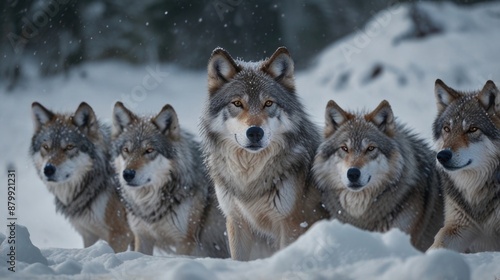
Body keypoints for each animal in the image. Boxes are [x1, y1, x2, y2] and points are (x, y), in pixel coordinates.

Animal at [199, 46, 328, 260]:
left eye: (268, 103)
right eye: (237, 103)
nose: (254, 132)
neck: (250, 176)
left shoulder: (291, 223)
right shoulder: (236, 221)